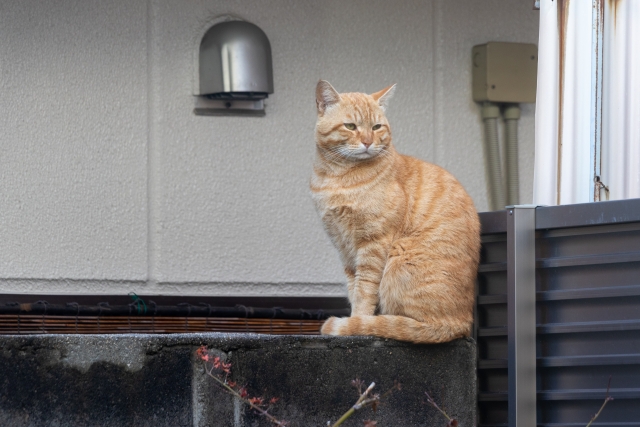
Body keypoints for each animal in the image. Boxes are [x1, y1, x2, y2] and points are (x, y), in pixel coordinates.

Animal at [310, 82, 480, 346]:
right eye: (351, 126)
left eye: (376, 127)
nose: (367, 141)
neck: (337, 177)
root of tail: (463, 323)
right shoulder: (344, 248)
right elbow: (353, 287)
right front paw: (357, 319)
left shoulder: (373, 243)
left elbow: (364, 290)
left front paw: (356, 323)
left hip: (399, 258)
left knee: (418, 326)